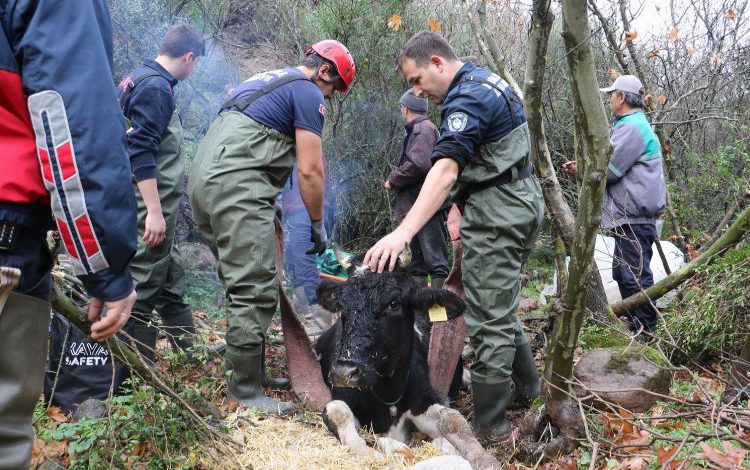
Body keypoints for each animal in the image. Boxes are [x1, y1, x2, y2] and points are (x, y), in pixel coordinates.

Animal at [314, 255, 502, 468]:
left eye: (394, 303)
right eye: (342, 305)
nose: (344, 372)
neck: (387, 392)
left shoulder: (423, 400)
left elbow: (452, 419)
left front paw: (484, 459)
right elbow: (338, 411)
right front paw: (375, 456)